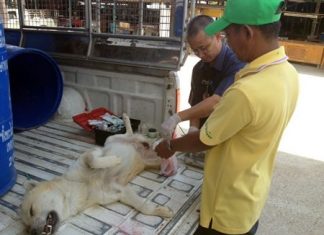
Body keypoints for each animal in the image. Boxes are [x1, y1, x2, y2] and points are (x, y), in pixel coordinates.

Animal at [20, 113, 175, 233]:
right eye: (26, 227)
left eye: (31, 211)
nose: (33, 232)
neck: (82, 187)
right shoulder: (122, 191)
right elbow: (143, 206)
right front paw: (160, 211)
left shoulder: (89, 155)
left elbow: (93, 160)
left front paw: (113, 160)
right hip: (151, 161)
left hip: (110, 139)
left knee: (130, 133)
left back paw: (126, 119)